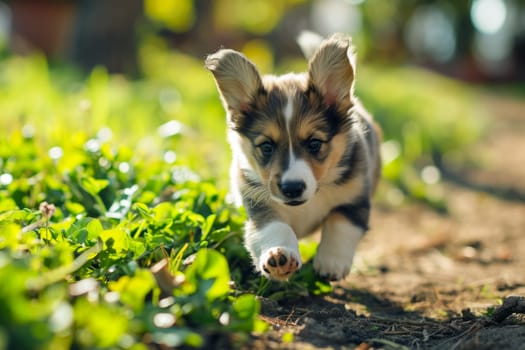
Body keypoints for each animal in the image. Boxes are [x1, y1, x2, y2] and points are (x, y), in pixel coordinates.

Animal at [205, 34, 380, 282]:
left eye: (314, 143)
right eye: (266, 146)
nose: (292, 188)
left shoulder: (355, 199)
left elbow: (339, 225)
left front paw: (331, 262)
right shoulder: (259, 206)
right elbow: (276, 229)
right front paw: (280, 257)